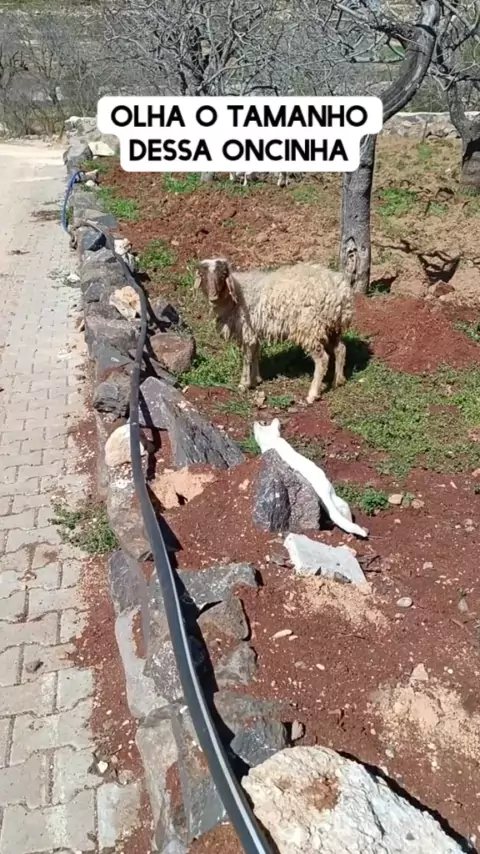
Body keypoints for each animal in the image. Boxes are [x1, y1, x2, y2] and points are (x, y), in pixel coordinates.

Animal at [194, 257, 354, 404]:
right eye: (202, 275)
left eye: (222, 275)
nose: (213, 297)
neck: (237, 293)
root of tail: (341, 292)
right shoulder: (255, 331)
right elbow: (255, 354)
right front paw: (256, 380)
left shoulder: (247, 330)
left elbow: (246, 358)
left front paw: (243, 384)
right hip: (331, 326)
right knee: (341, 349)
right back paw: (338, 381)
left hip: (309, 328)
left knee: (322, 359)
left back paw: (312, 395)